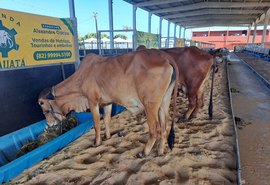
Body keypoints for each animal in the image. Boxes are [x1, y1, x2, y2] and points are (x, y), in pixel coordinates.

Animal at [37, 49, 177, 156]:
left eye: (43, 106)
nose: (49, 124)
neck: (81, 77)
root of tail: (165, 57)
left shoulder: (92, 102)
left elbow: (97, 124)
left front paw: (96, 142)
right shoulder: (107, 103)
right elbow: (107, 119)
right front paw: (108, 137)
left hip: (150, 105)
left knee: (155, 129)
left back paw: (145, 152)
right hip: (164, 103)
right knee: (166, 125)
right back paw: (160, 151)